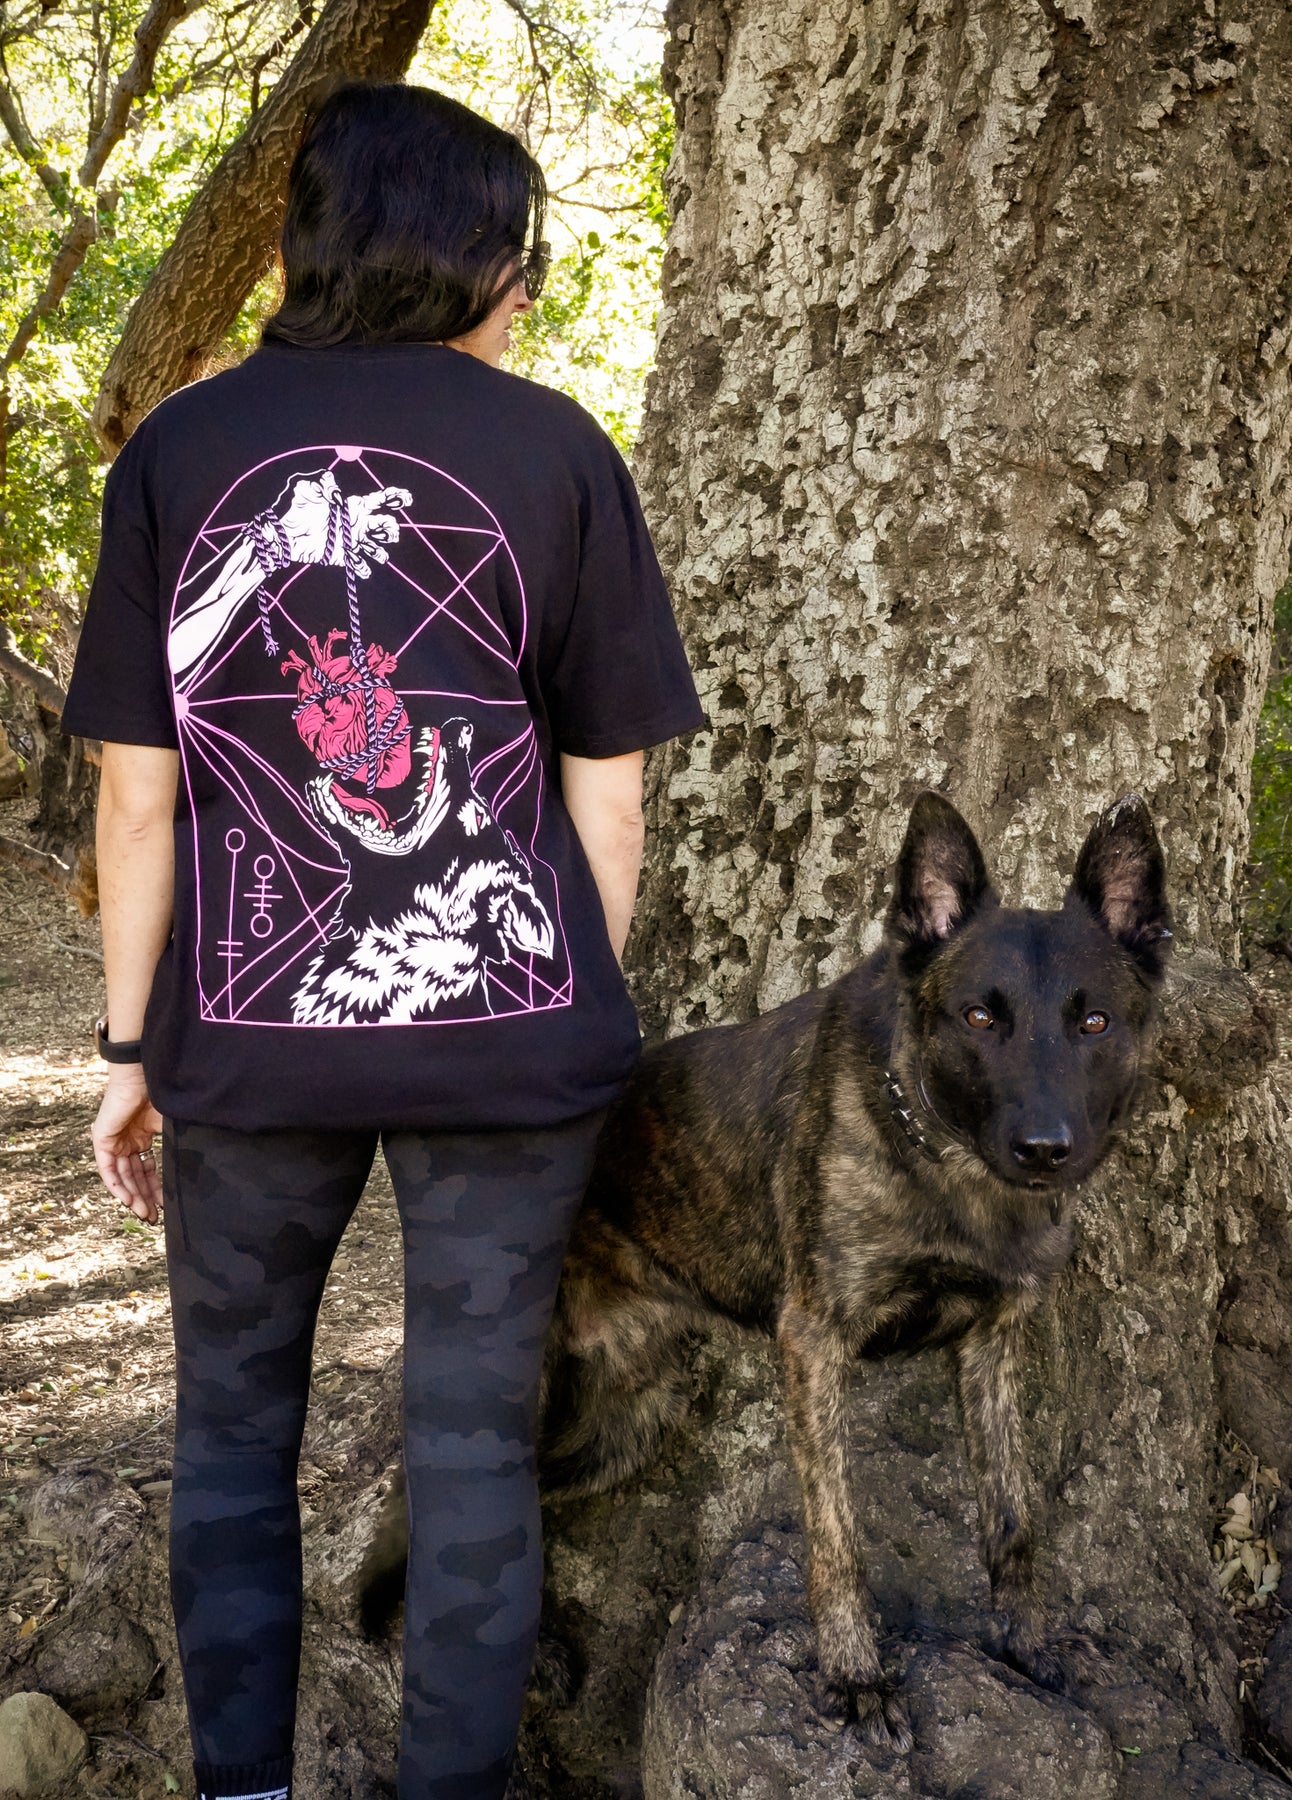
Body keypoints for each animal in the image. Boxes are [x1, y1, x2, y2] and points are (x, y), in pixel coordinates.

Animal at [538, 790, 1172, 1751]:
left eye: (1093, 1022)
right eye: (978, 1017)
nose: (1044, 1150)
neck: (949, 1168)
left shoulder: (992, 1344)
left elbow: (1013, 1518)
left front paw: (1026, 1643)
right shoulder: (814, 1343)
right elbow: (838, 1538)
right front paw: (856, 1675)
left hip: (630, 1419)